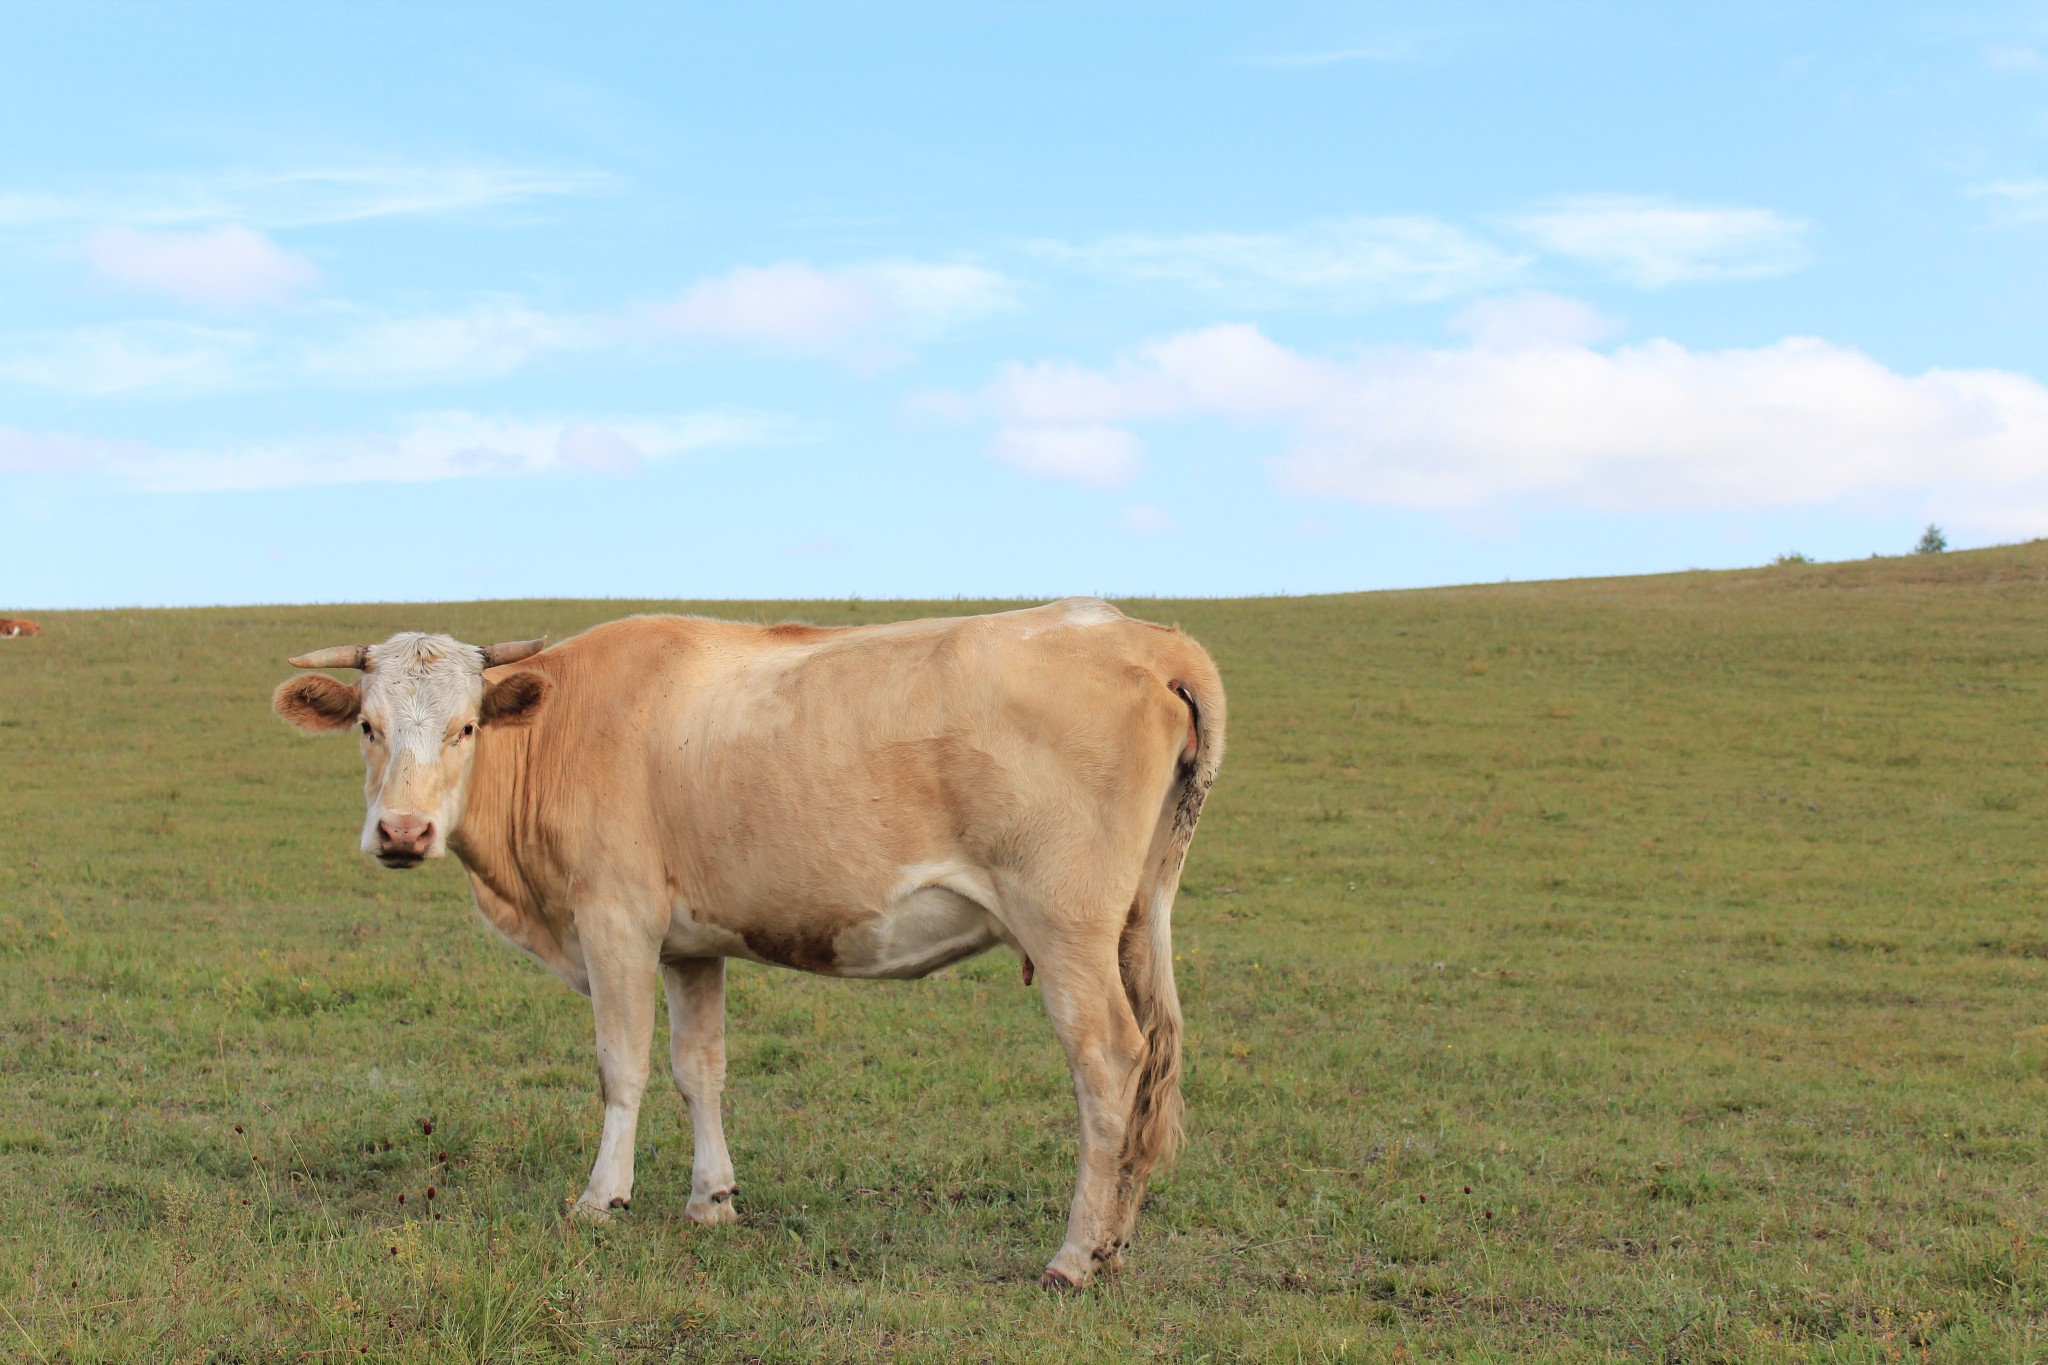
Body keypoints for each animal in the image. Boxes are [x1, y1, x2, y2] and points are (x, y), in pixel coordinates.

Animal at [278, 601, 1220, 1293]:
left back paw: (1073, 1256)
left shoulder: (615, 920)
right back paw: (1115, 1243)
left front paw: (601, 1197)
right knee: (1147, 1068)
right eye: (367, 725)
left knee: (1109, 1062)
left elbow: (622, 1066)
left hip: (1066, 929)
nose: (403, 831)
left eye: (468, 726)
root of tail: (1139, 632)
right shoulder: (692, 944)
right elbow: (701, 1067)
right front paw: (711, 1197)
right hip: (1137, 921)